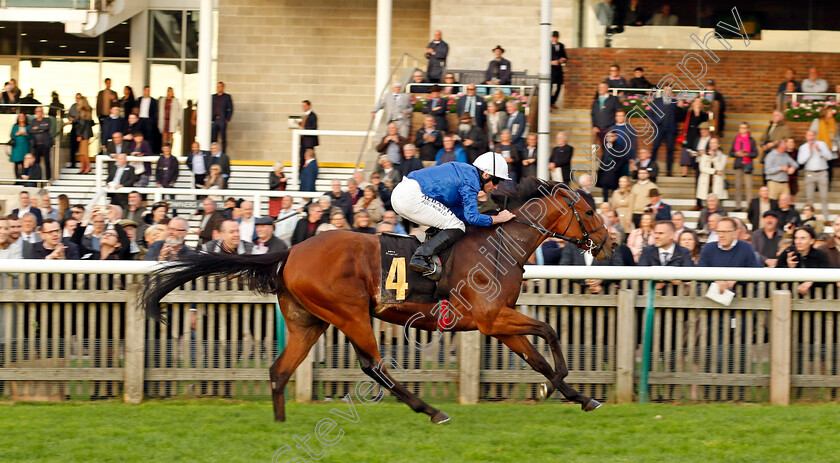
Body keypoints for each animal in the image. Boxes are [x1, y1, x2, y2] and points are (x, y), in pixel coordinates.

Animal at [143, 179, 616, 424]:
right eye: (590, 212)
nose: (610, 245)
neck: (500, 245)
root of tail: (290, 252)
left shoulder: (498, 321)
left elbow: (535, 355)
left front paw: (579, 396)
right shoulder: (490, 318)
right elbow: (549, 331)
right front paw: (559, 384)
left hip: (308, 322)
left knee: (280, 370)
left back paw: (279, 424)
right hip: (350, 313)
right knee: (373, 365)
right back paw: (431, 411)